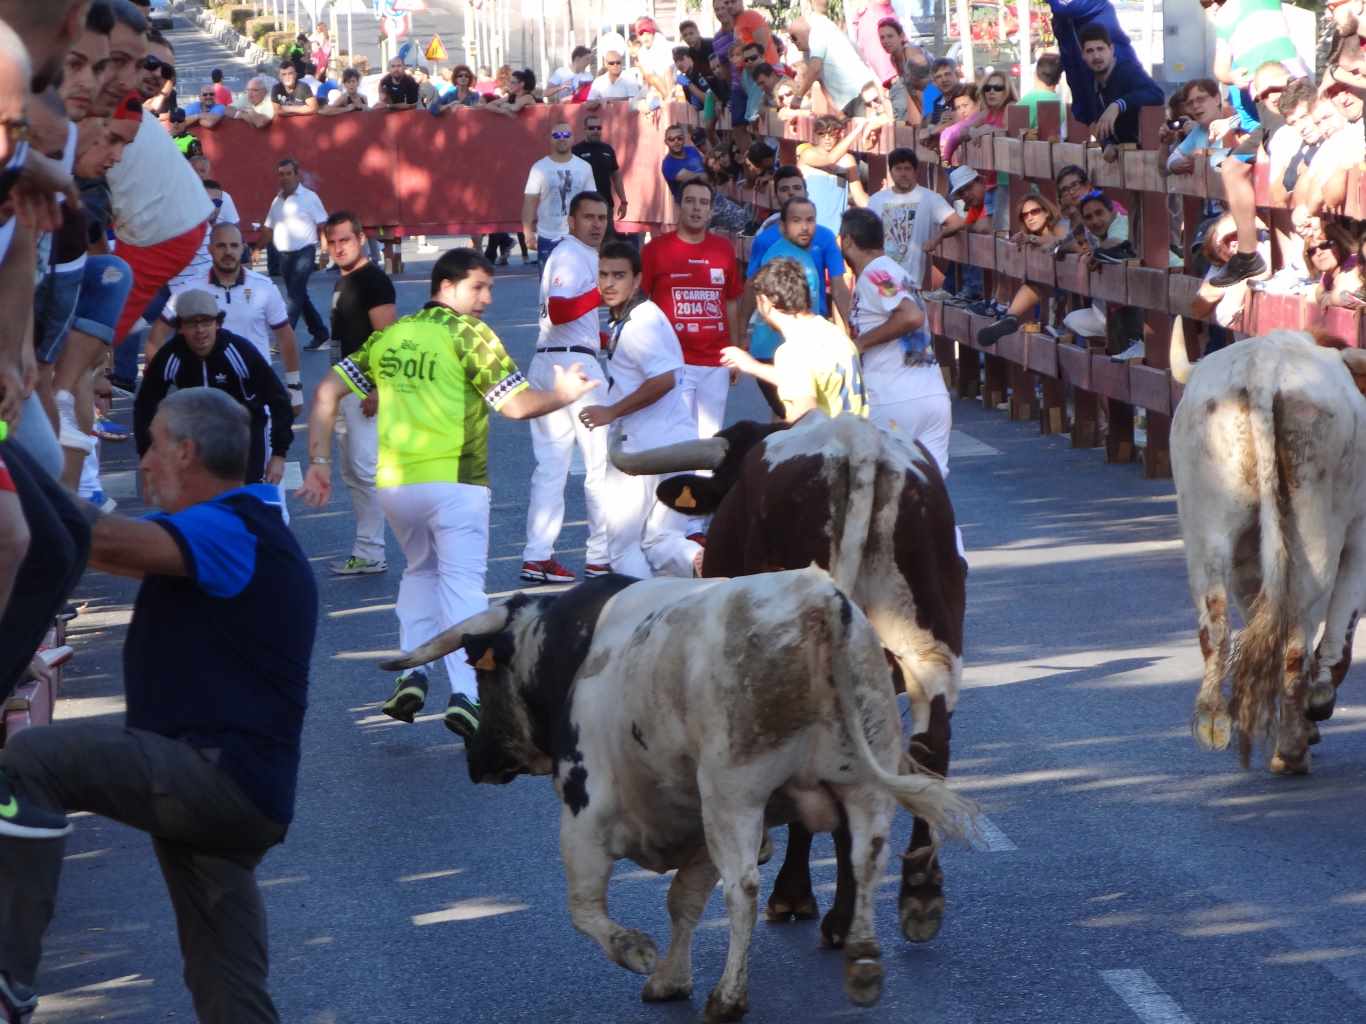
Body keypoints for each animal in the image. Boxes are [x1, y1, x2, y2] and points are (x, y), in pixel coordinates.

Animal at [377, 573, 972, 1021]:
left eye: (483, 676)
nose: (475, 759)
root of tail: (818, 601)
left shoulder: (585, 812)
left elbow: (584, 907)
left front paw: (638, 953)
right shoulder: (694, 824)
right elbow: (683, 902)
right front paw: (670, 978)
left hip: (735, 795)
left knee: (743, 890)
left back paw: (729, 999)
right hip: (862, 785)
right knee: (865, 861)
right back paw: (864, 962)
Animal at [609, 412, 972, 950]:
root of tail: (858, 442)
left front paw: (793, 893)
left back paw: (839, 912)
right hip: (930, 642)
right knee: (930, 749)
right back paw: (920, 893)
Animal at [1169, 333, 1366, 775]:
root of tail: (1263, 363)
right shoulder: (1361, 536)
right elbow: (1339, 632)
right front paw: (1318, 704)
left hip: (1207, 527)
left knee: (1217, 621)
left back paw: (1213, 721)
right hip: (1315, 533)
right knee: (1297, 636)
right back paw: (1291, 747)